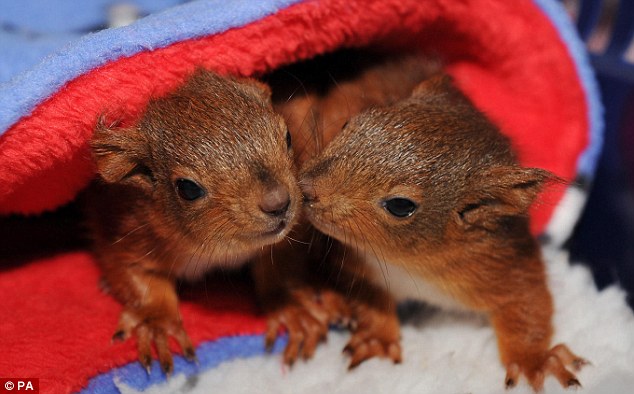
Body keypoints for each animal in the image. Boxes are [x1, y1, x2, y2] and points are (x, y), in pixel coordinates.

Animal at [86, 69, 302, 374]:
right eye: (188, 189)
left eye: (288, 137)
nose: (278, 202)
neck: (218, 250)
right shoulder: (121, 227)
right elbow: (133, 273)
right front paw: (158, 321)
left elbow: (274, 264)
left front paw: (286, 305)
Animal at [298, 72, 584, 390]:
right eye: (349, 123)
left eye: (400, 205)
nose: (306, 187)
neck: (415, 264)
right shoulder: (355, 263)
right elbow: (368, 298)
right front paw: (377, 338)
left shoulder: (506, 261)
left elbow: (528, 303)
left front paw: (534, 361)